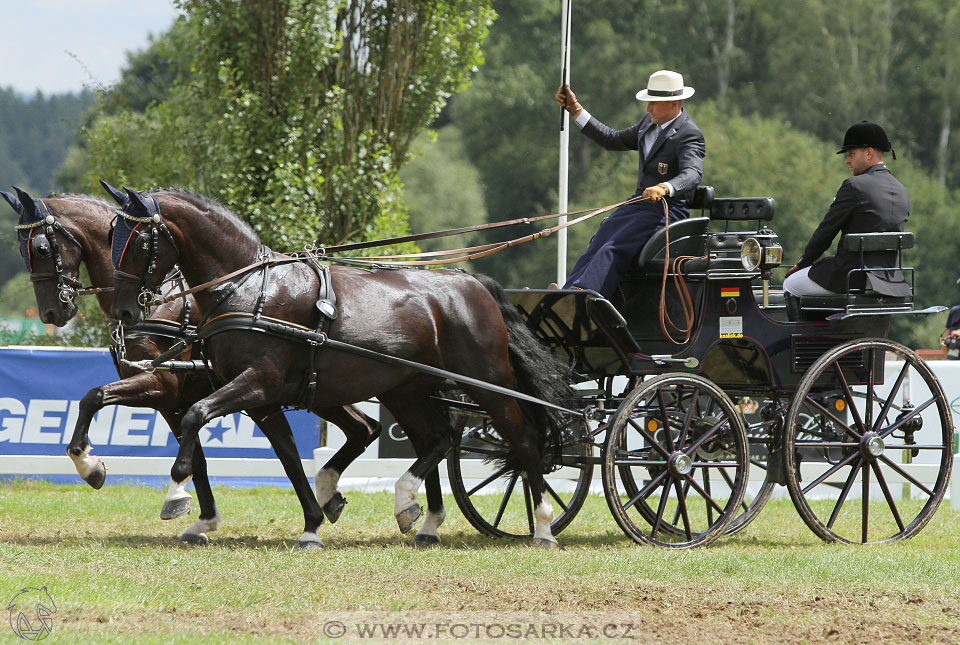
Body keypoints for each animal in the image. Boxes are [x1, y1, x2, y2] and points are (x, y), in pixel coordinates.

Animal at [1, 189, 382, 544]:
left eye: (42, 249)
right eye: (20, 250)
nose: (52, 312)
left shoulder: (161, 385)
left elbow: (93, 397)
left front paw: (90, 465)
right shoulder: (172, 401)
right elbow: (196, 457)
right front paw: (202, 518)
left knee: (352, 433)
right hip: (320, 390)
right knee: (364, 428)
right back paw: (331, 498)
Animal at [103, 181, 568, 548]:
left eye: (139, 242)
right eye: (111, 236)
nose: (124, 311)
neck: (248, 288)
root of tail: (472, 282)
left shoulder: (257, 383)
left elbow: (195, 418)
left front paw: (175, 494)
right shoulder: (260, 396)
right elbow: (288, 457)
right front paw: (311, 525)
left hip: (487, 381)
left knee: (523, 441)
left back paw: (543, 526)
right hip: (406, 389)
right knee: (439, 438)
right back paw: (412, 509)